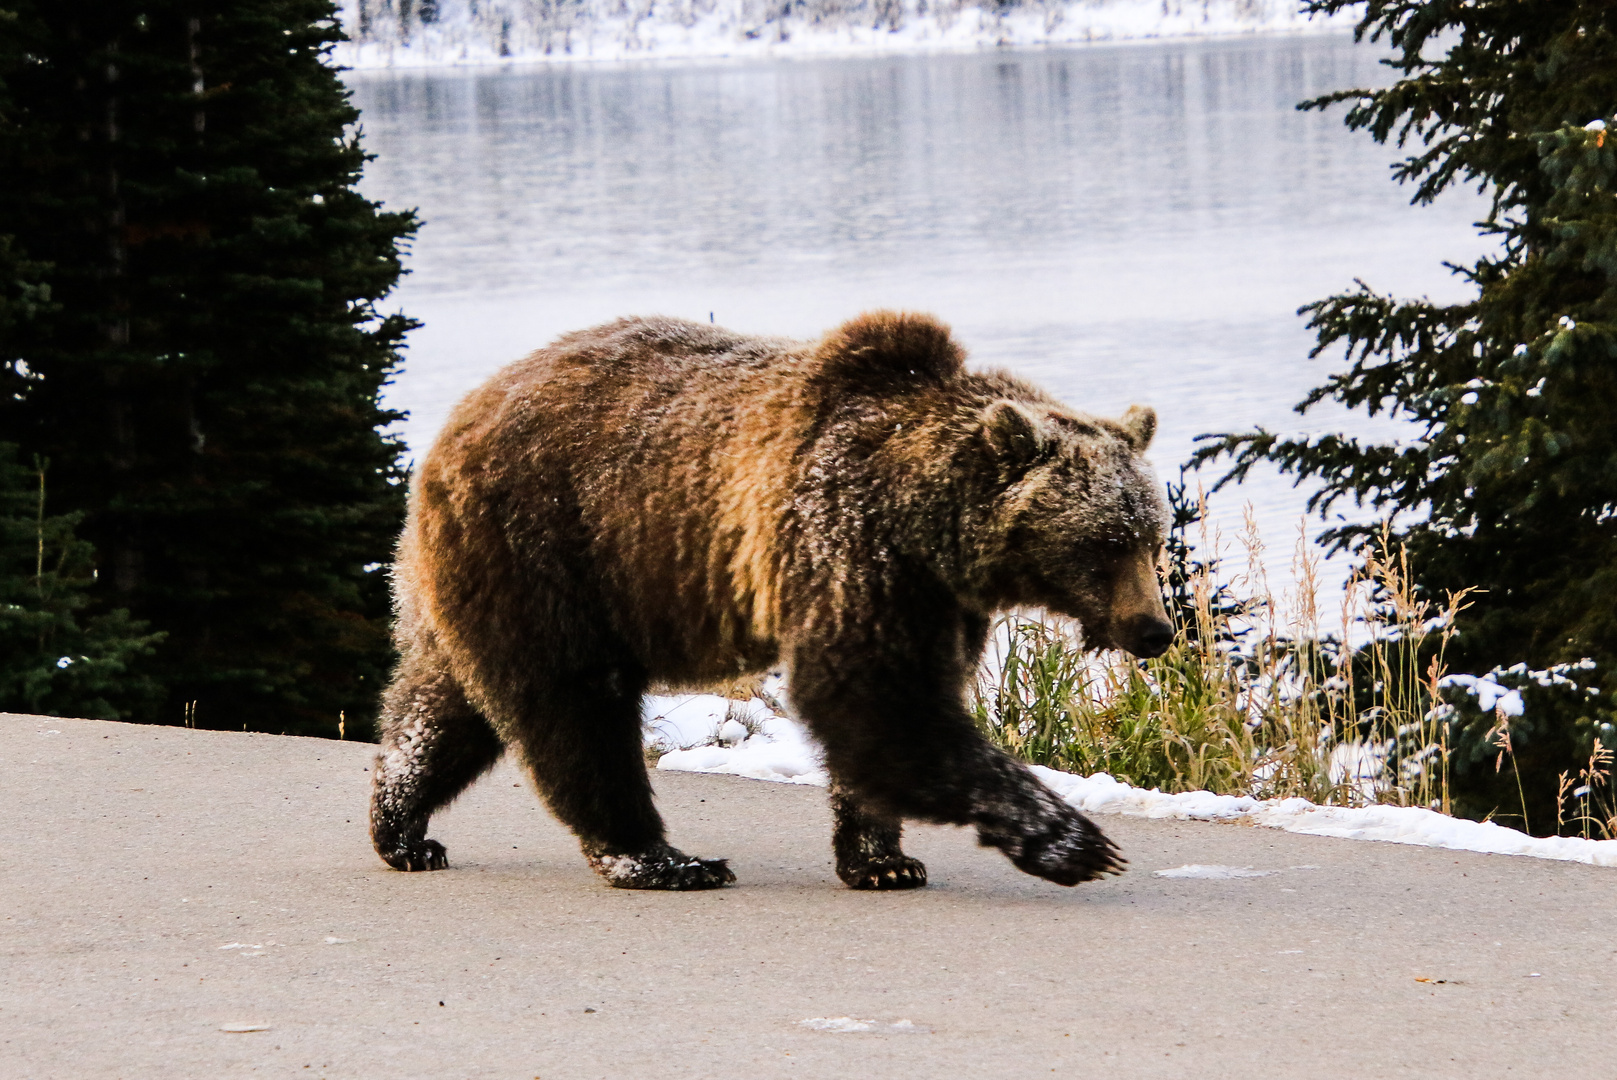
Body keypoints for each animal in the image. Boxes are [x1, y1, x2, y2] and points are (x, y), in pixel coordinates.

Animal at [371, 312, 1170, 892]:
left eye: (1151, 536)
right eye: (1103, 542)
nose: (1154, 629)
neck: (925, 520)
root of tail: (457, 418)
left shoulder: (937, 599)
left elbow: (895, 708)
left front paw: (883, 860)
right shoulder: (847, 540)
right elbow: (875, 700)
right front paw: (1072, 841)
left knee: (444, 707)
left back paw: (402, 826)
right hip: (555, 545)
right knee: (576, 708)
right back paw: (664, 860)